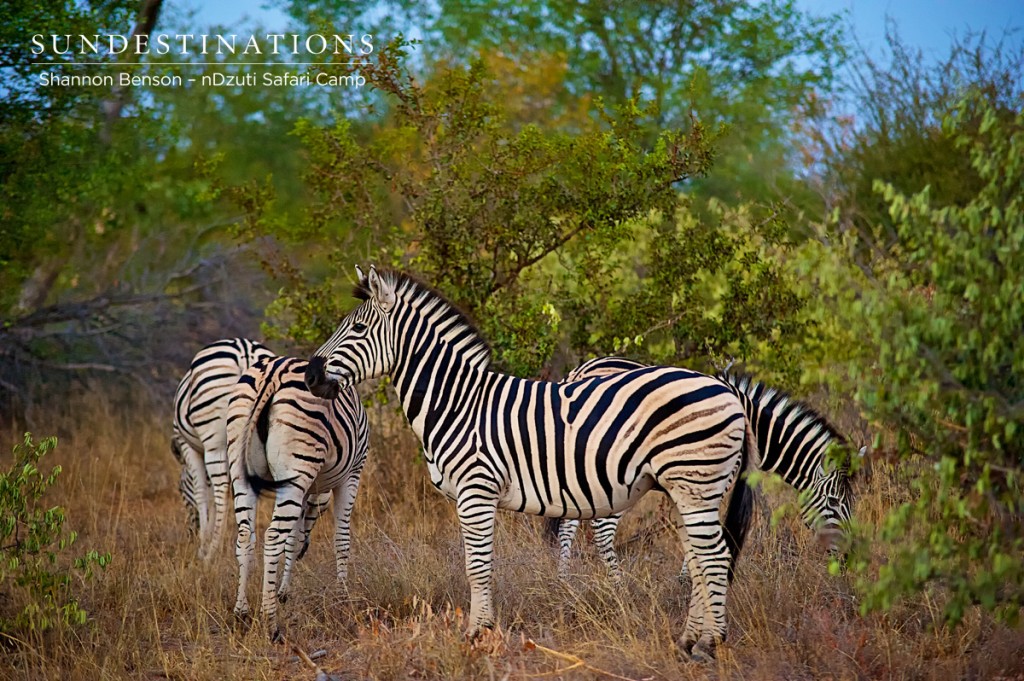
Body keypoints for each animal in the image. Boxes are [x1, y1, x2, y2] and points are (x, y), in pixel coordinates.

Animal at [226, 352, 370, 639]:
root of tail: (271, 373)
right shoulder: (352, 474)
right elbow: (342, 539)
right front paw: (343, 598)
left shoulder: (305, 490)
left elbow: (292, 538)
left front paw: (283, 592)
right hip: (297, 469)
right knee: (272, 537)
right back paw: (271, 623)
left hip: (242, 470)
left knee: (245, 535)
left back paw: (241, 612)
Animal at [303, 266, 761, 659]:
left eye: (358, 329)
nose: (309, 375)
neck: (458, 403)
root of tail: (727, 390)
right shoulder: (473, 496)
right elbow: (479, 563)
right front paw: (481, 630)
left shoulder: (476, 489)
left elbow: (477, 566)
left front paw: (477, 634)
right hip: (687, 490)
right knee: (700, 560)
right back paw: (689, 640)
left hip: (695, 486)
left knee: (715, 557)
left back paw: (709, 644)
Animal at [557, 352, 860, 581]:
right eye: (834, 502)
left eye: (852, 503)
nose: (847, 560)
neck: (752, 424)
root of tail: (579, 372)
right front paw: (688, 580)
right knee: (600, 528)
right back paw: (617, 586)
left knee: (569, 523)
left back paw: (564, 582)